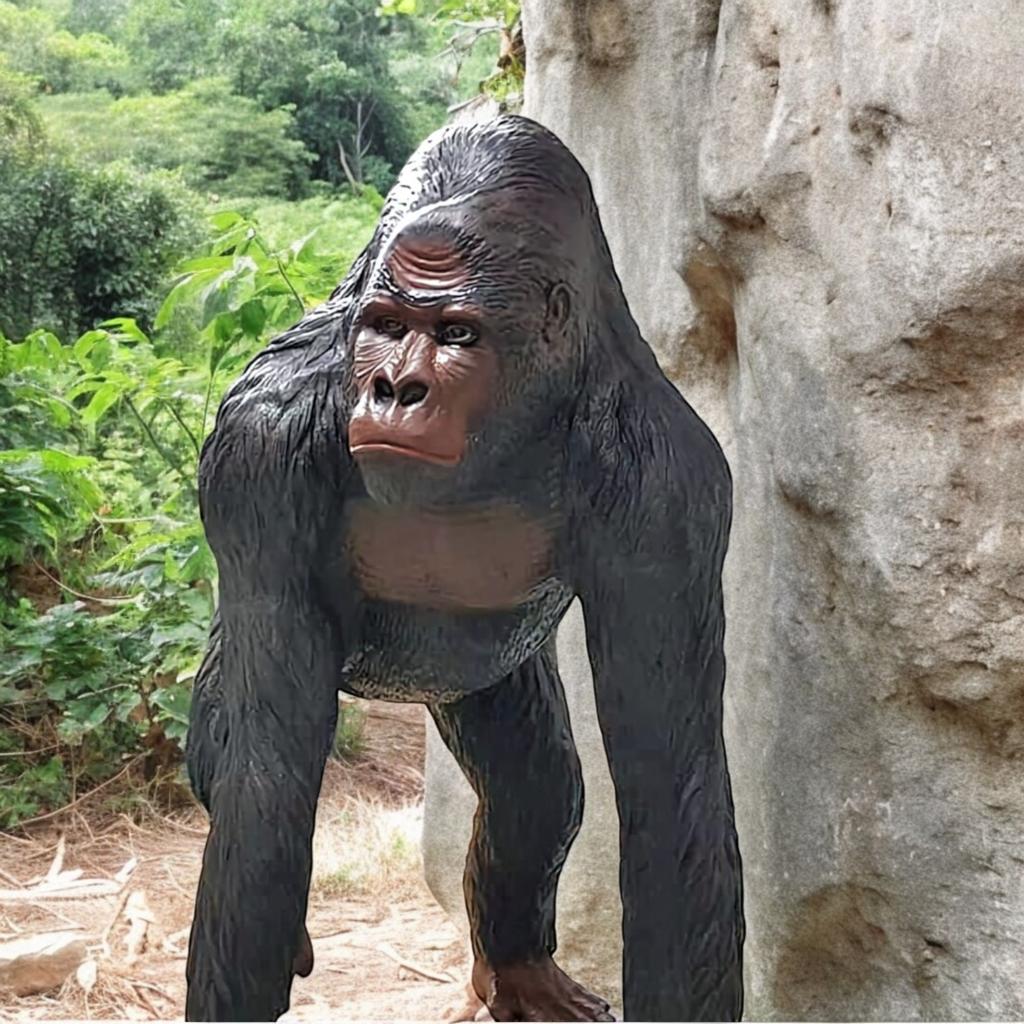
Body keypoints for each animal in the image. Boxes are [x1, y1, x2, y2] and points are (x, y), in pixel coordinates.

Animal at [184, 114, 743, 1023]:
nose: (393, 387)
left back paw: (517, 969)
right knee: (220, 755)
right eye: (384, 324)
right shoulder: (257, 449)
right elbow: (263, 788)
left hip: (483, 682)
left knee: (535, 788)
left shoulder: (669, 486)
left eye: (456, 335)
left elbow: (672, 792)